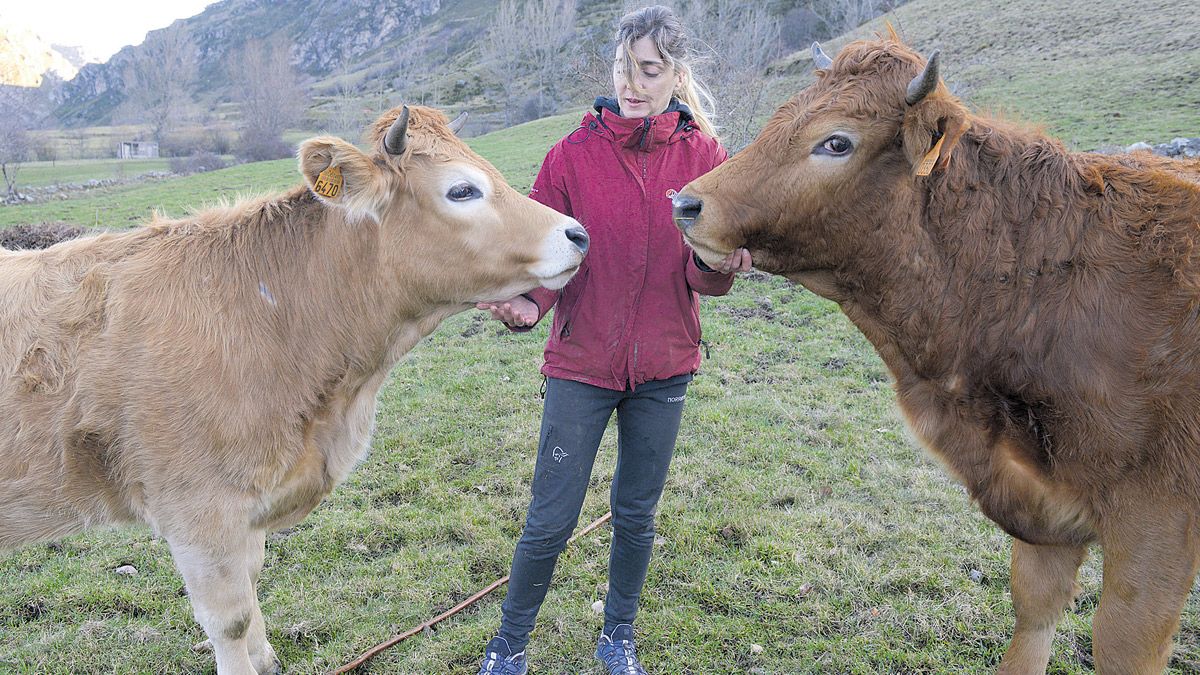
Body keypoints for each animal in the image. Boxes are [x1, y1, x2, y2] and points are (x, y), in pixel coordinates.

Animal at [672, 32, 1200, 672]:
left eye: (836, 141)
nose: (687, 204)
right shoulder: (1044, 510)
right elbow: (1035, 609)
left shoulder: (1158, 519)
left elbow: (1121, 642)